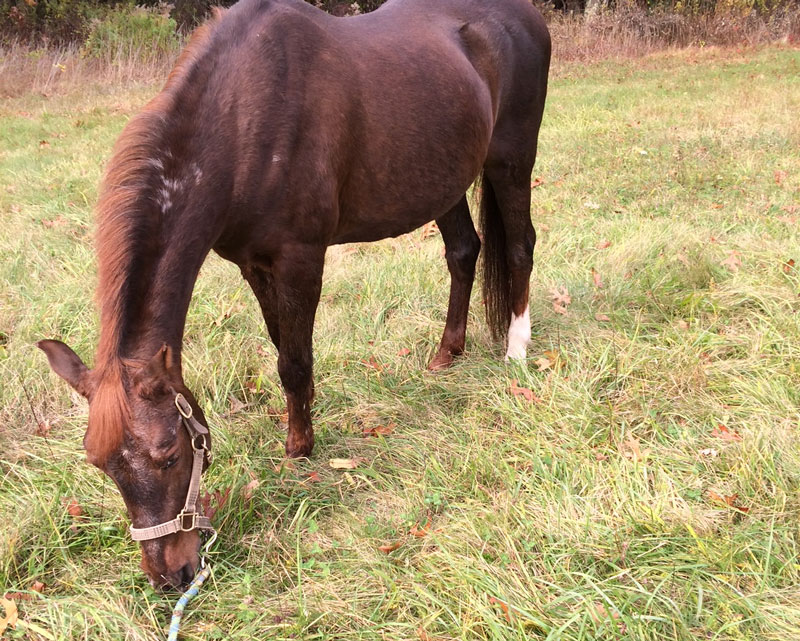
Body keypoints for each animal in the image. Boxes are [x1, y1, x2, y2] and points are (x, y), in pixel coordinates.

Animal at [37, 0, 550, 589]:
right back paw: (447, 352)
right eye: (100, 463)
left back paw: (516, 350)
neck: (244, 122)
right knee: (464, 251)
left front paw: (299, 452)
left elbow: (294, 361)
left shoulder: (301, 257)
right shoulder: (252, 264)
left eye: (168, 453)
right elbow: (282, 344)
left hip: (511, 160)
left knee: (520, 246)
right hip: (444, 177)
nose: (172, 576)